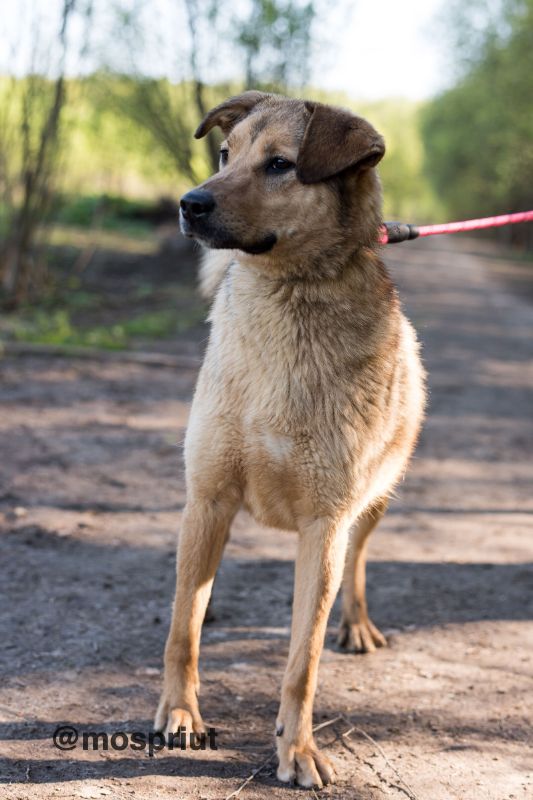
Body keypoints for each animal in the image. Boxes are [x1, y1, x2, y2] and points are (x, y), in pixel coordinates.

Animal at [154, 92, 424, 788]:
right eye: (226, 154)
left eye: (280, 164)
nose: (189, 202)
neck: (285, 299)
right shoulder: (208, 496)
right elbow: (183, 631)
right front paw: (180, 715)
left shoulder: (325, 526)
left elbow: (303, 662)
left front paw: (296, 749)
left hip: (372, 506)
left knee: (356, 567)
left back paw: (356, 625)